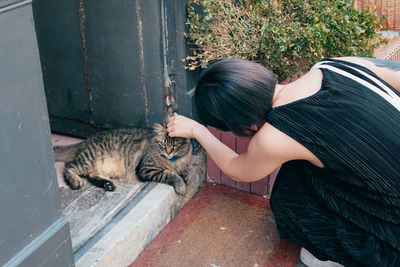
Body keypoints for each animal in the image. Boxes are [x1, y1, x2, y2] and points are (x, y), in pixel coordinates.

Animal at [53, 123, 192, 195]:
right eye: (163, 144)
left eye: (175, 145)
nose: (168, 152)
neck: (174, 161)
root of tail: (86, 140)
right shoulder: (147, 169)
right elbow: (170, 174)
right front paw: (180, 185)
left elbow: (185, 171)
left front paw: (185, 176)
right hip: (88, 160)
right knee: (68, 166)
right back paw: (75, 181)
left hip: (102, 167)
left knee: (91, 175)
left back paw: (108, 184)